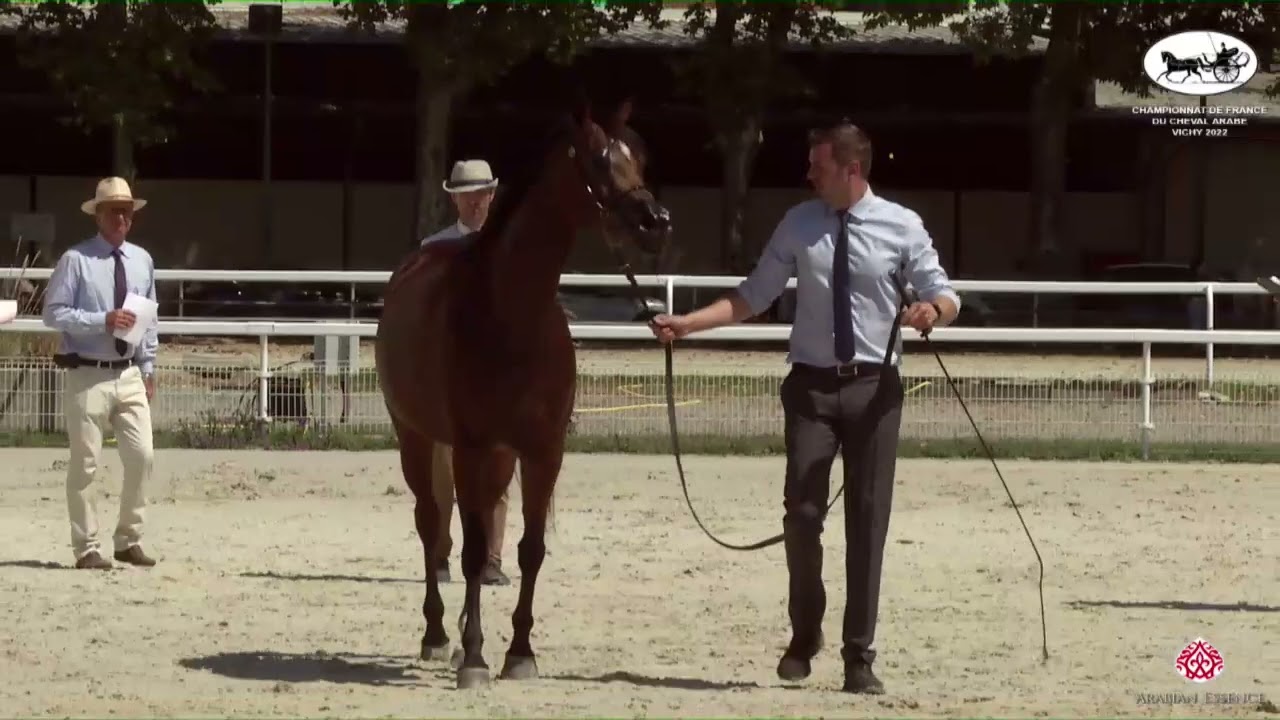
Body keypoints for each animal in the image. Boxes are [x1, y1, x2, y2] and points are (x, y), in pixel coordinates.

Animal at [374, 95, 672, 690]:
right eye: (599, 161)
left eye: (641, 156)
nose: (656, 222)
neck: (510, 315)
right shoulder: (468, 447)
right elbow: (466, 550)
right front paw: (474, 659)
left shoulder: (543, 452)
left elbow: (529, 549)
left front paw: (519, 652)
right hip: (415, 437)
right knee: (430, 525)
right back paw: (437, 635)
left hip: (499, 455)